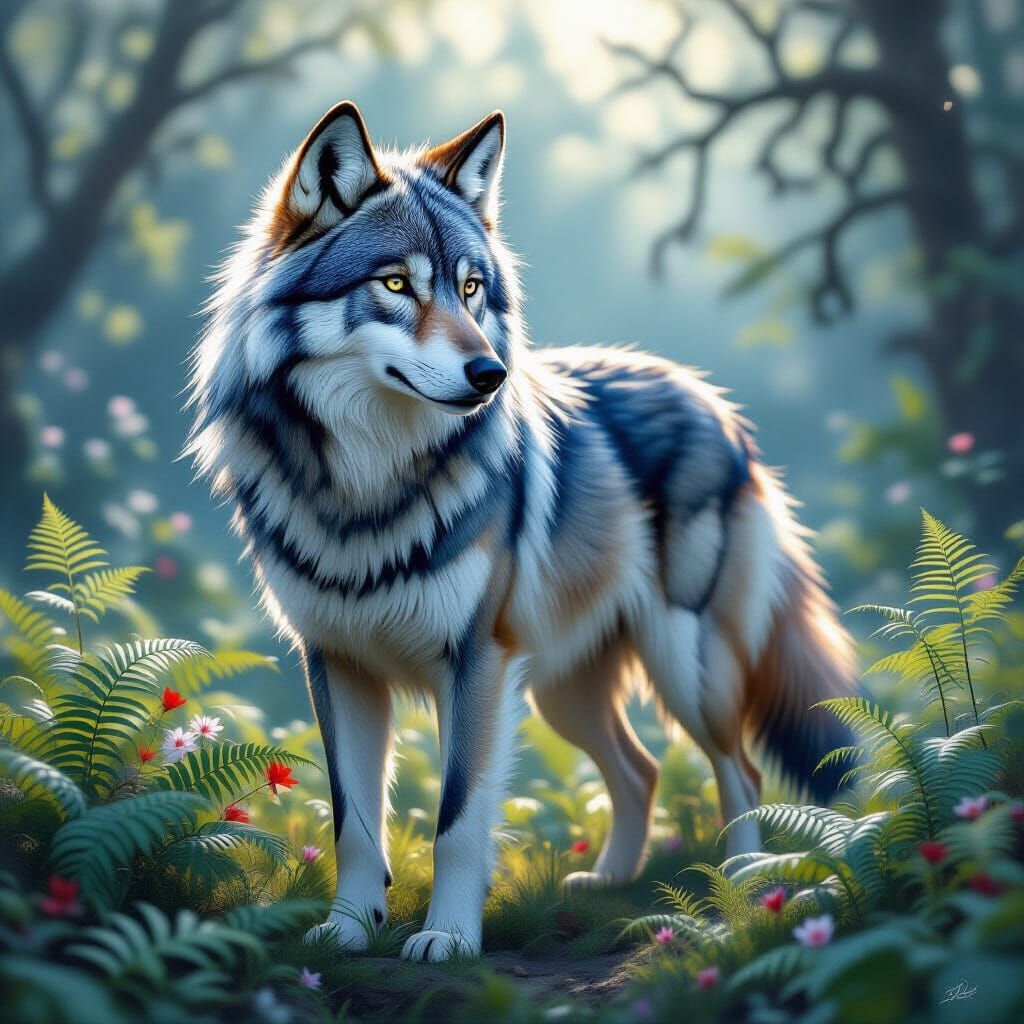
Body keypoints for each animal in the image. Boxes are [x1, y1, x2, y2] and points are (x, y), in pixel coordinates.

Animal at [186, 102, 855, 962]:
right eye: (396, 284)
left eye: (472, 289)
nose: (490, 376)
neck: (367, 485)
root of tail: (712, 400)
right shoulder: (337, 662)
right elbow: (354, 822)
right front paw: (347, 930)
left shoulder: (474, 661)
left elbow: (457, 818)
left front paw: (446, 938)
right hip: (560, 690)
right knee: (641, 770)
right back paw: (607, 884)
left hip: (682, 664)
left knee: (739, 767)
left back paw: (742, 888)